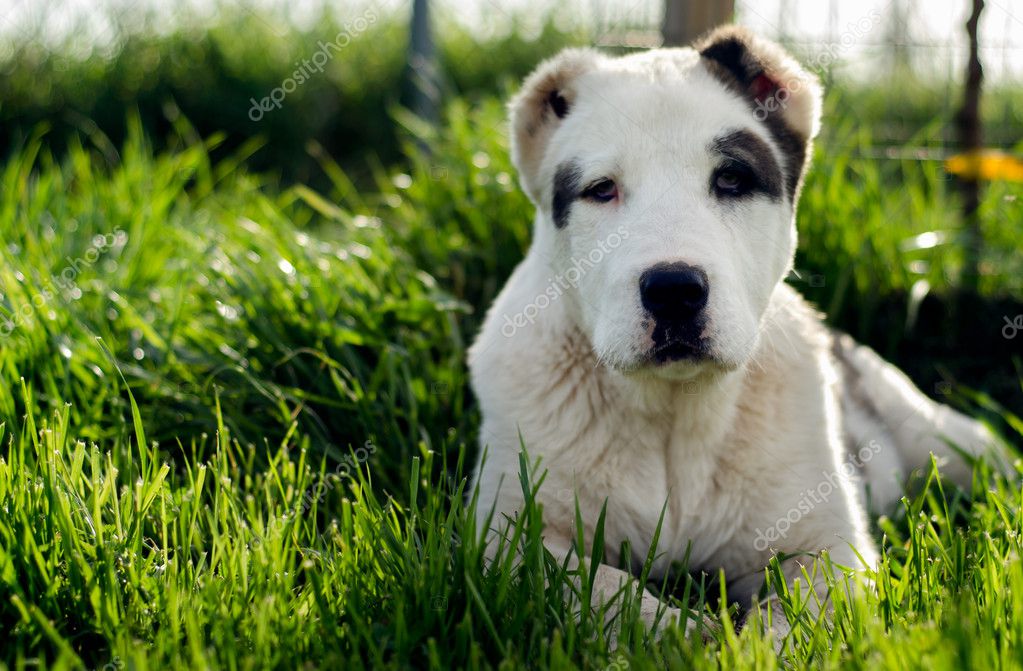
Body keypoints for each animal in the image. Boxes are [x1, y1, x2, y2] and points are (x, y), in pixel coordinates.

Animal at [468, 23, 1006, 638]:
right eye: (601, 190)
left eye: (731, 180)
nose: (674, 290)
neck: (675, 412)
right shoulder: (508, 535)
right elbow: (600, 588)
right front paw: (681, 636)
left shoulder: (827, 545)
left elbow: (795, 623)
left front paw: (742, 644)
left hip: (947, 440)